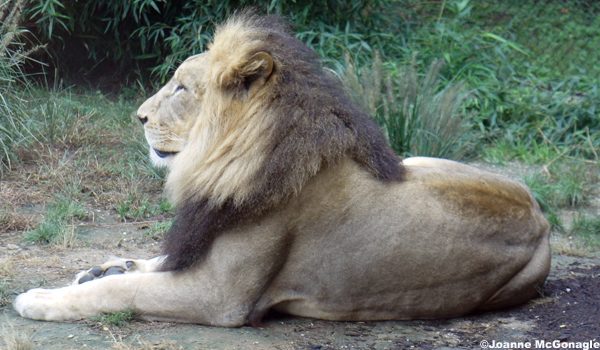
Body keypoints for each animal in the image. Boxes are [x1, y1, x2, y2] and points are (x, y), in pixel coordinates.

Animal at [14, 13, 552, 326]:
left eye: (181, 88)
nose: (139, 117)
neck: (222, 163)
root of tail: (543, 219)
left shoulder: (220, 297)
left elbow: (120, 290)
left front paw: (39, 299)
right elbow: (148, 265)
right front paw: (104, 267)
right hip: (411, 160)